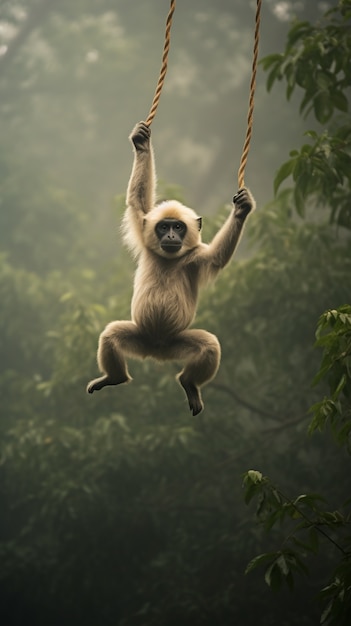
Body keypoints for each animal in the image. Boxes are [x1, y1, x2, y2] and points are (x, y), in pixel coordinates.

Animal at [86, 121, 256, 414]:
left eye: (178, 227)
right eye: (163, 227)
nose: (171, 236)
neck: (170, 259)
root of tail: (157, 350)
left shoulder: (196, 258)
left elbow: (217, 257)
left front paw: (242, 210)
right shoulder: (145, 239)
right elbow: (136, 202)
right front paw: (141, 143)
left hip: (176, 341)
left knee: (209, 346)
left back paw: (189, 383)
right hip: (141, 336)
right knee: (110, 335)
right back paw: (114, 377)